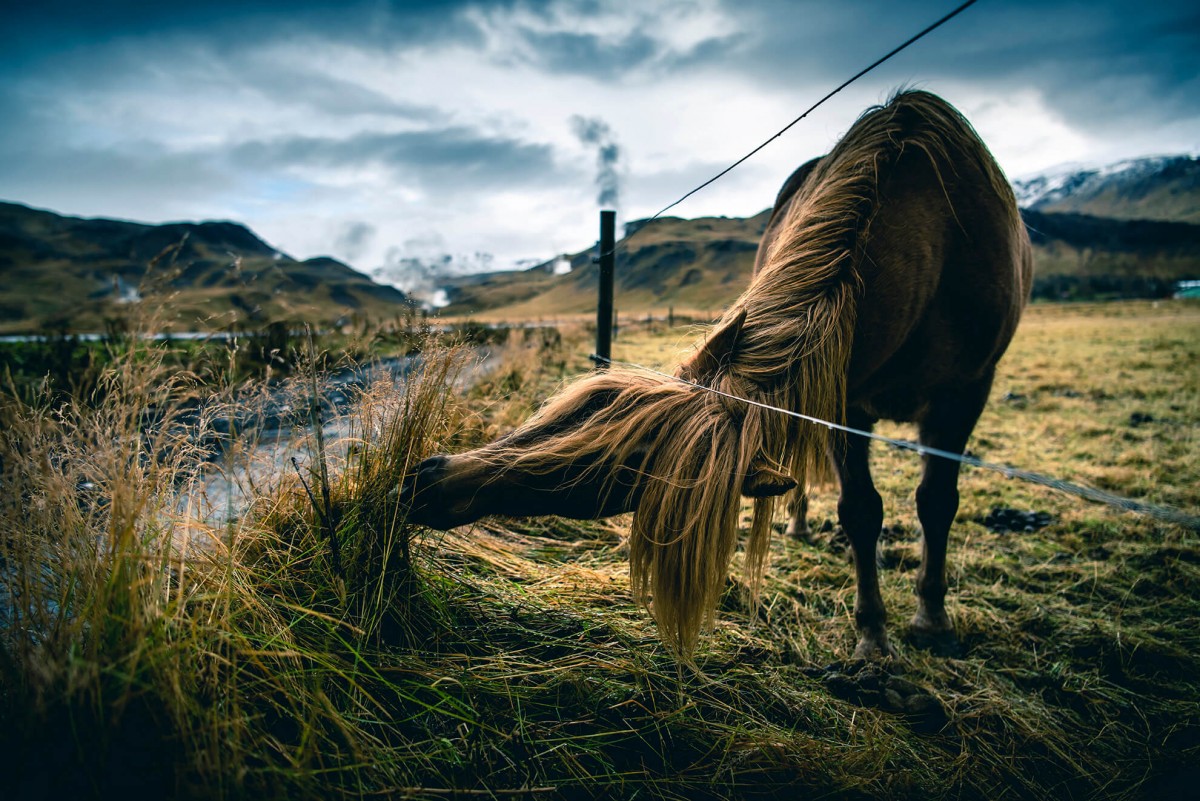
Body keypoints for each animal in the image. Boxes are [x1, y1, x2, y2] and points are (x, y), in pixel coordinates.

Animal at [403, 92, 1032, 657]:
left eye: (622, 472)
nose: (428, 478)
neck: (935, 241)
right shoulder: (843, 403)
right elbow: (860, 510)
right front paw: (874, 633)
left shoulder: (965, 394)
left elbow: (935, 502)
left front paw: (927, 621)